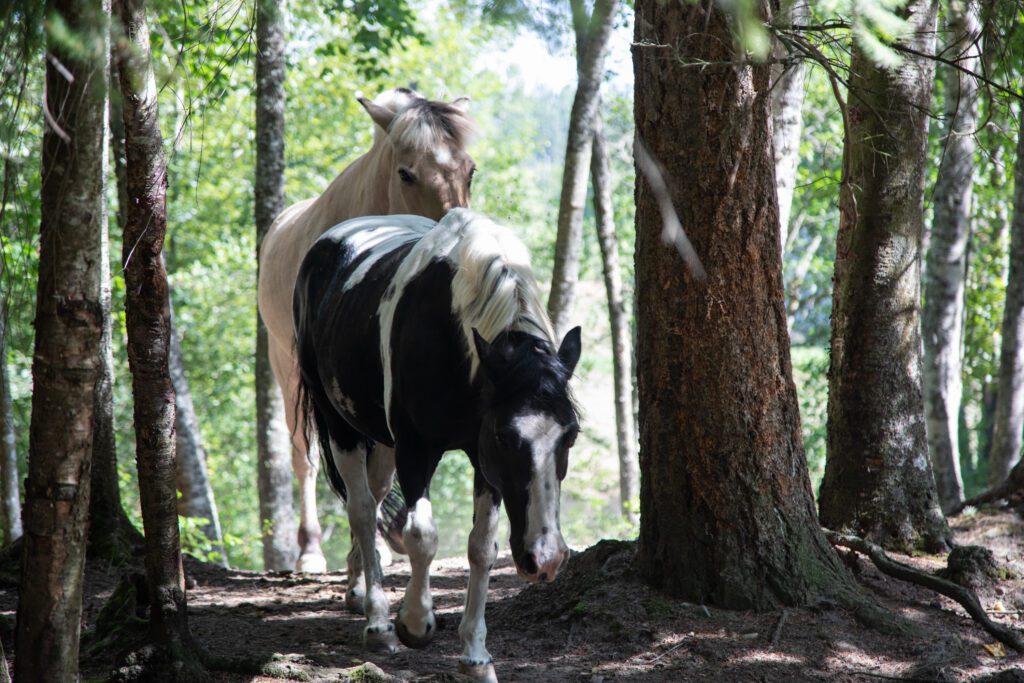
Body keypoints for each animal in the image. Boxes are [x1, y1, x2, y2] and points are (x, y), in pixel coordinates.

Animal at [260, 87, 475, 577]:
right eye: (406, 173)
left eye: (470, 170)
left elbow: (380, 475)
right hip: (287, 368)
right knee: (304, 458)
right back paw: (310, 551)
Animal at [294, 209, 585, 683]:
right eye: (507, 436)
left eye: (571, 434)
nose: (545, 559)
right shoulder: (417, 449)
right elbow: (421, 535)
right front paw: (415, 623)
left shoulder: (483, 462)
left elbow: (482, 548)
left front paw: (476, 656)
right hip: (339, 423)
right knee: (361, 509)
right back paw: (378, 623)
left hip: (381, 442)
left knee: (374, 499)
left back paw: (358, 588)